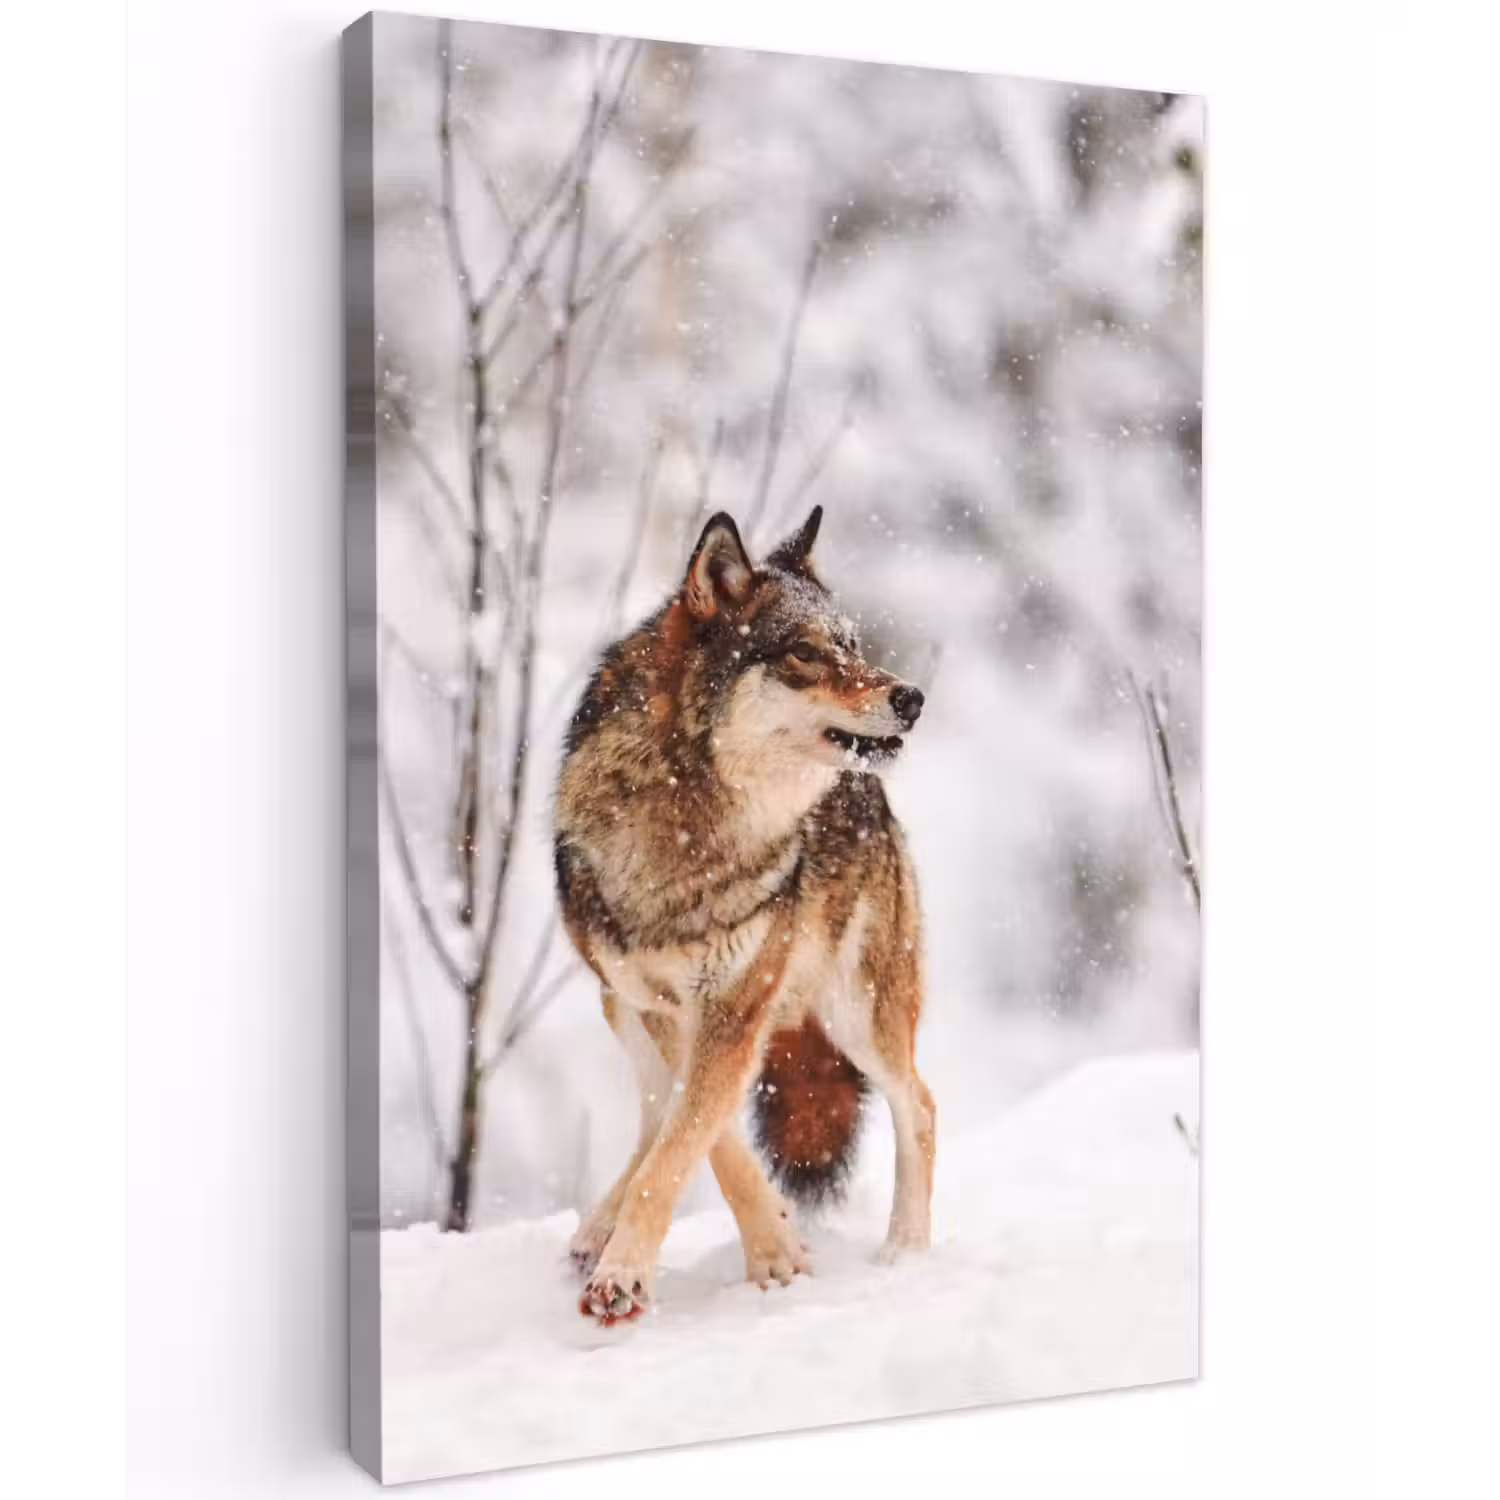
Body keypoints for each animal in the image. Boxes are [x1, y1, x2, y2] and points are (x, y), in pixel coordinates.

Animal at [554, 505, 935, 1323]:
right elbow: (703, 1137)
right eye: (805, 653)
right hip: (618, 1007)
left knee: (918, 1104)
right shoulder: (666, 1007)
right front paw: (773, 1249)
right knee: (653, 1113)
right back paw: (596, 1230)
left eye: (853, 644)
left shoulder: (734, 1005)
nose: (912, 698)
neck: (691, 822)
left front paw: (628, 1275)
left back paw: (906, 1254)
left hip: (859, 1012)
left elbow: (688, 1141)